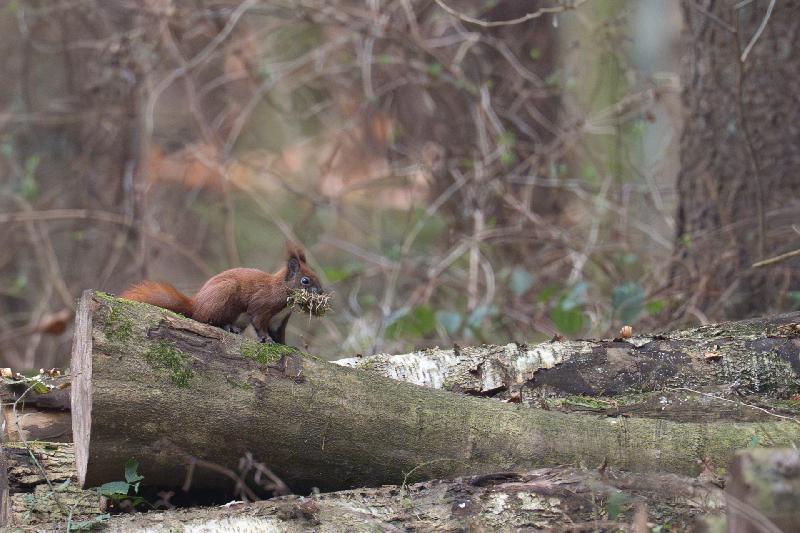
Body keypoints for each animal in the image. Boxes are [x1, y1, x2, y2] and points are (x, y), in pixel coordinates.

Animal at [120, 242, 323, 344]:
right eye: (305, 281)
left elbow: (279, 334)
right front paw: (266, 339)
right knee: (204, 319)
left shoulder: (279, 320)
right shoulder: (263, 305)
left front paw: (285, 345)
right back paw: (226, 326)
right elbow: (259, 322)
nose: (320, 292)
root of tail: (196, 305)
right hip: (224, 296)